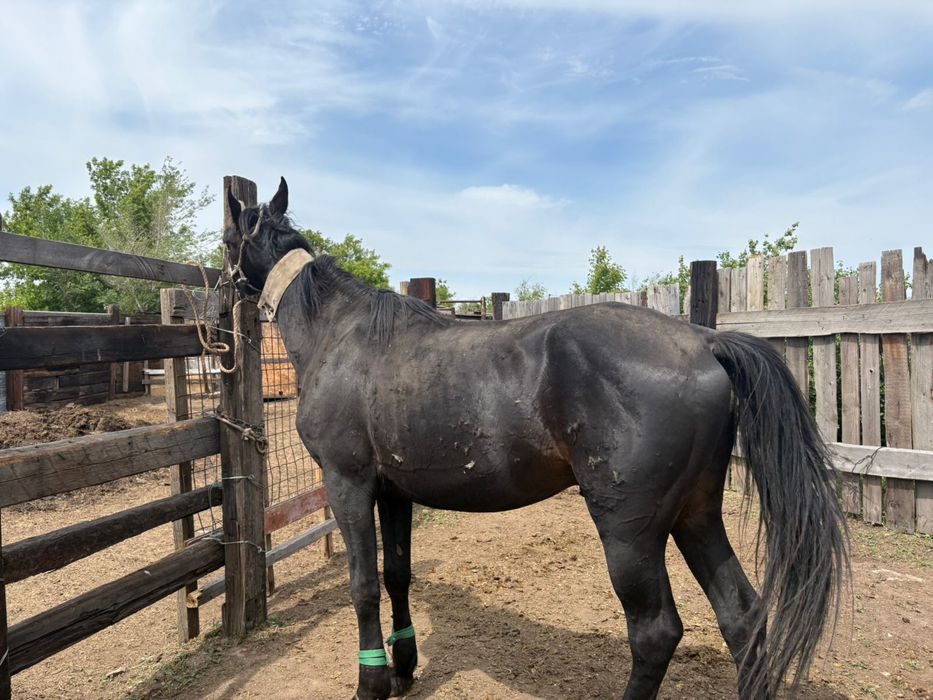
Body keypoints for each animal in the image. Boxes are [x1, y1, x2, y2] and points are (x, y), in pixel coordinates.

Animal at [223, 178, 848, 700]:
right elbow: (397, 575)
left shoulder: (347, 484)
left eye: (227, 237)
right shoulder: (393, 491)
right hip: (696, 515)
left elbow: (362, 586)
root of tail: (703, 342)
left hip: (631, 532)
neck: (341, 335)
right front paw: (402, 670)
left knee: (655, 631)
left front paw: (370, 685)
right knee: (742, 617)